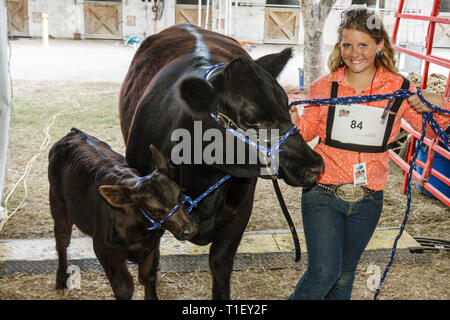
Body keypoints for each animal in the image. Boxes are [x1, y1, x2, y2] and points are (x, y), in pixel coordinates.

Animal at [48, 129, 198, 298]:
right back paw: (61, 281)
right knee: (62, 241)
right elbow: (124, 287)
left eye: (181, 196)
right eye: (154, 210)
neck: (139, 230)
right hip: (58, 205)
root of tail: (75, 132)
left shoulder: (153, 244)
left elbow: (148, 277)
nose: (190, 229)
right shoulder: (104, 248)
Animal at [118, 23, 324, 298]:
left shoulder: (240, 212)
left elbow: (220, 266)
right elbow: (149, 270)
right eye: (250, 119)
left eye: (286, 103)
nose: (315, 166)